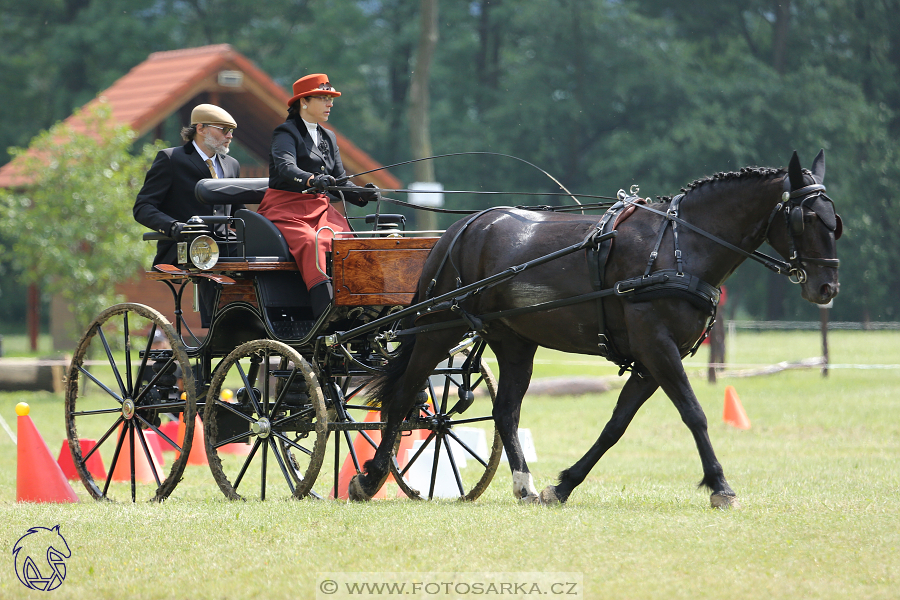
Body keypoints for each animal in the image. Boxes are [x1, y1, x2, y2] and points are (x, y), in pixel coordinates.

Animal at [348, 150, 840, 506]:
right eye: (807, 218)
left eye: (836, 220)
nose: (827, 287)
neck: (680, 247)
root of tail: (463, 226)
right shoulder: (658, 348)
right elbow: (694, 413)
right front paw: (720, 486)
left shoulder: (651, 360)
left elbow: (615, 426)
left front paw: (563, 485)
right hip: (438, 327)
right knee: (405, 394)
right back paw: (370, 479)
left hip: (514, 342)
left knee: (505, 410)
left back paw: (525, 485)